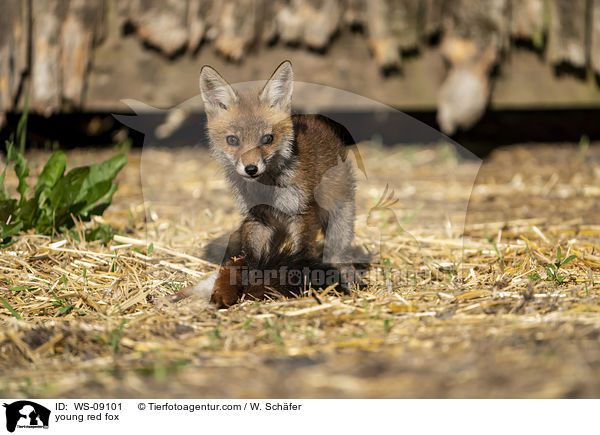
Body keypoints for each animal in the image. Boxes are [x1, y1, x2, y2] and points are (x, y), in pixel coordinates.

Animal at [192, 60, 360, 306]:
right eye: (233, 140)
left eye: (267, 139)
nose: (251, 169)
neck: (266, 190)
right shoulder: (257, 219)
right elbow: (250, 260)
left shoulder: (302, 215)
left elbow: (302, 256)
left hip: (340, 218)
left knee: (339, 253)